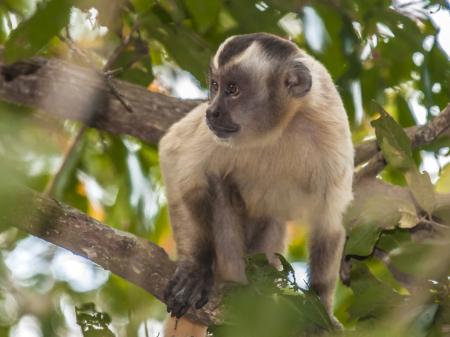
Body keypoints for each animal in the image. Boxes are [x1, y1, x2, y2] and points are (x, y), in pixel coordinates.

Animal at [160, 32, 354, 334]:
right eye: (215, 86)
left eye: (232, 89)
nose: (212, 111)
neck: (284, 125)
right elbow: (175, 158)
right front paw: (196, 267)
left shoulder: (331, 124)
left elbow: (329, 219)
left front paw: (320, 308)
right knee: (219, 184)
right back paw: (235, 284)